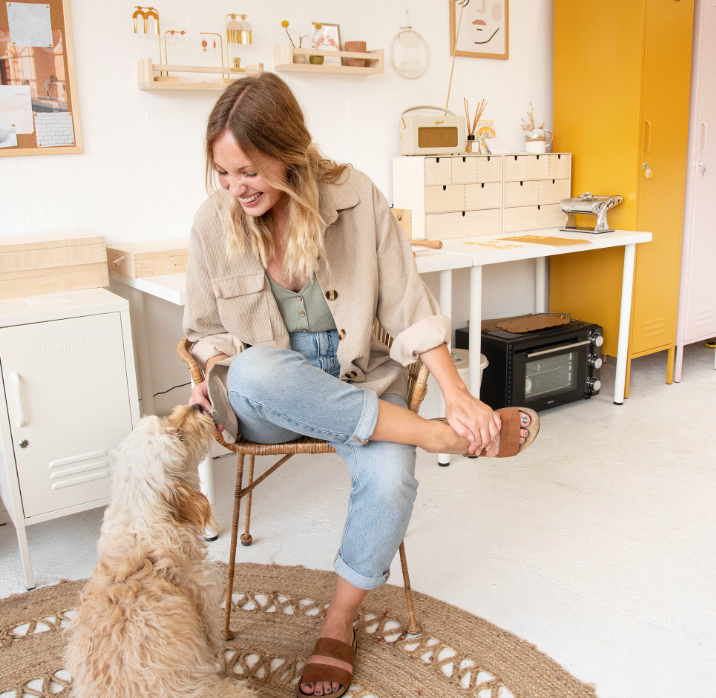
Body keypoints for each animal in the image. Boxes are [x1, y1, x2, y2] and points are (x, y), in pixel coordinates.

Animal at [65, 402, 255, 696]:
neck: (138, 528)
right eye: (177, 436)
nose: (197, 405)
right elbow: (211, 638)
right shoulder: (204, 597)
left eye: (167, 420)